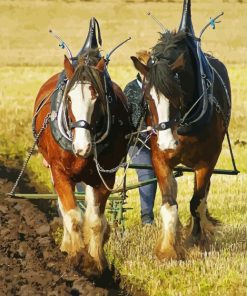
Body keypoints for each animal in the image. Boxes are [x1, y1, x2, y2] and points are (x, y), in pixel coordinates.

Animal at [33, 48, 130, 272]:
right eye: (69, 99)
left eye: (98, 98)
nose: (82, 147)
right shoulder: (60, 173)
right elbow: (73, 216)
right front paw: (76, 255)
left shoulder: (105, 178)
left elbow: (95, 221)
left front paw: (95, 261)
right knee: (65, 208)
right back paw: (67, 245)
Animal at [132, 26, 231, 258]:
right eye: (147, 98)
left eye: (178, 95)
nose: (168, 143)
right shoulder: (159, 158)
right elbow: (169, 203)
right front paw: (168, 249)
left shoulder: (207, 161)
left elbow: (197, 202)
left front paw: (195, 240)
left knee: (202, 194)